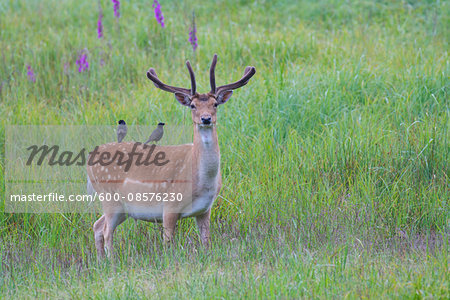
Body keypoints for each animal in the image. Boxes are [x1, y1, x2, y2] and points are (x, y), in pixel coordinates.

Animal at [87, 54, 256, 258]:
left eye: (215, 104)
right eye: (192, 105)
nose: (206, 118)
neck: (201, 181)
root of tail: (88, 161)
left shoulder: (205, 209)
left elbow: (206, 242)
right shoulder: (169, 206)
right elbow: (168, 243)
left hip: (122, 208)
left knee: (97, 226)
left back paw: (100, 261)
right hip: (109, 197)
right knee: (106, 231)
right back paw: (111, 261)